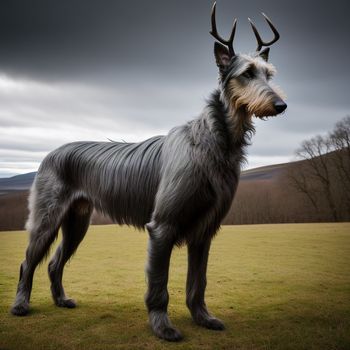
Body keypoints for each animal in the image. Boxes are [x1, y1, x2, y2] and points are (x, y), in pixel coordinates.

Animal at [10, 2, 288, 342]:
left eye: (268, 74)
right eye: (246, 74)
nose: (281, 105)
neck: (212, 140)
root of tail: (50, 154)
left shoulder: (204, 231)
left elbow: (198, 283)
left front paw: (203, 318)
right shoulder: (162, 228)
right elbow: (159, 285)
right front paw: (163, 327)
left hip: (78, 221)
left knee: (53, 263)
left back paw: (61, 300)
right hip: (47, 218)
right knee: (27, 262)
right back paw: (20, 306)